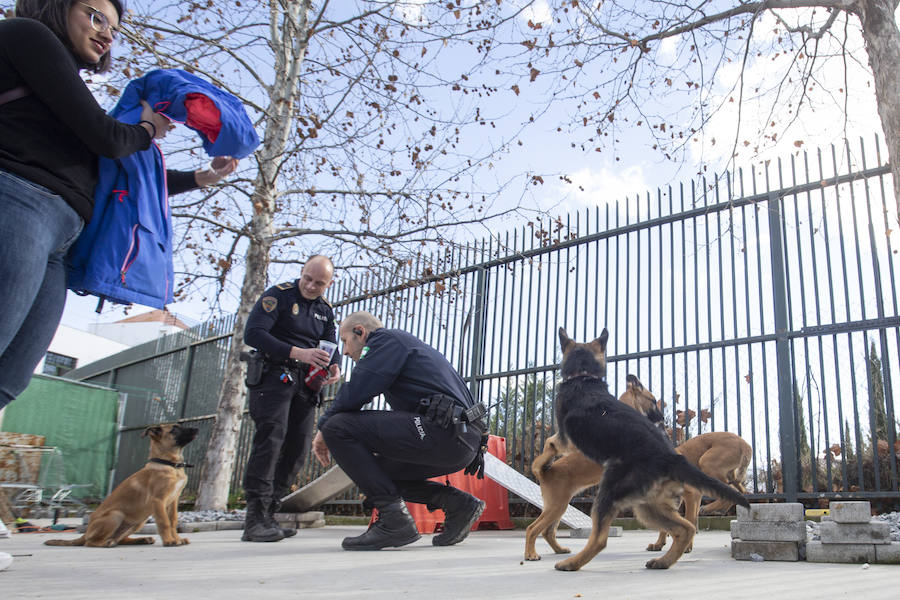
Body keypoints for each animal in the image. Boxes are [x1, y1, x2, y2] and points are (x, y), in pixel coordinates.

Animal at [45, 422, 197, 548]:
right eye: (174, 429)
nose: (196, 429)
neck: (171, 465)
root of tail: (86, 532)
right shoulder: (158, 500)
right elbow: (164, 522)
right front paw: (169, 541)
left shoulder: (173, 500)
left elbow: (173, 521)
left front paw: (177, 539)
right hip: (116, 515)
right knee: (90, 542)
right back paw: (106, 543)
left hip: (139, 521)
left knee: (120, 539)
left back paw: (141, 539)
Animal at [552, 326, 748, 568]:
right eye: (654, 401)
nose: (662, 419)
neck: (584, 376)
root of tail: (671, 458)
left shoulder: (565, 439)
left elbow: (553, 441)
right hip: (648, 505)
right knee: (686, 527)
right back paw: (664, 560)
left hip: (614, 495)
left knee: (600, 539)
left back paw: (572, 563)